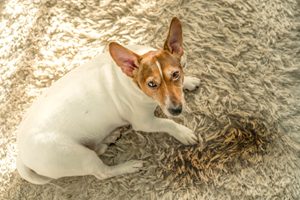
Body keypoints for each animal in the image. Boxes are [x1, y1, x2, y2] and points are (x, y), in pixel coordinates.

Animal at [15, 17, 199, 184]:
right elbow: (168, 123)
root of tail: (21, 156)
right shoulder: (144, 123)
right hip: (80, 156)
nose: (176, 110)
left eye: (175, 74)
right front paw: (183, 133)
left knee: (98, 150)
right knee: (103, 173)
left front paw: (189, 81)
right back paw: (127, 166)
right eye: (151, 84)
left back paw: (108, 139)